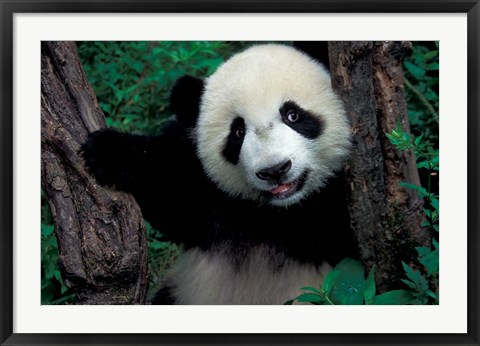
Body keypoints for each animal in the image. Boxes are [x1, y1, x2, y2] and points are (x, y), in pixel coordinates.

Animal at [81, 43, 356, 306]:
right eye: (238, 132)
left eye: (293, 115)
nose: (275, 170)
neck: (277, 212)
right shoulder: (209, 195)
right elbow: (170, 189)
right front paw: (108, 150)